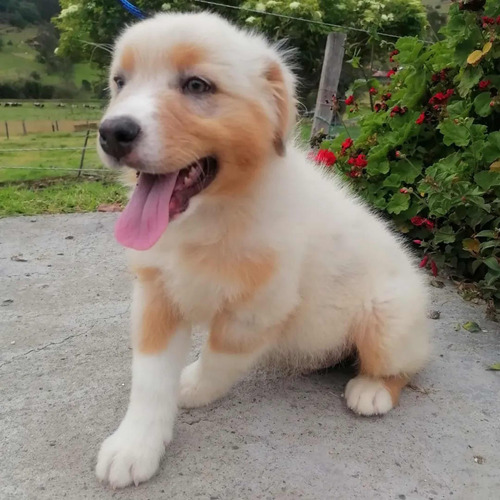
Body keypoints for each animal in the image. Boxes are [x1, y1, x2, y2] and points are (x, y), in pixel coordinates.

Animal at [96, 11, 430, 488]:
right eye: (120, 82)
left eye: (197, 85)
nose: (111, 132)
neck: (212, 216)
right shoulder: (156, 292)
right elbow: (148, 377)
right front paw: (134, 446)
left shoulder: (258, 310)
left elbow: (215, 360)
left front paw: (189, 386)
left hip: (387, 320)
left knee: (407, 362)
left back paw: (372, 389)